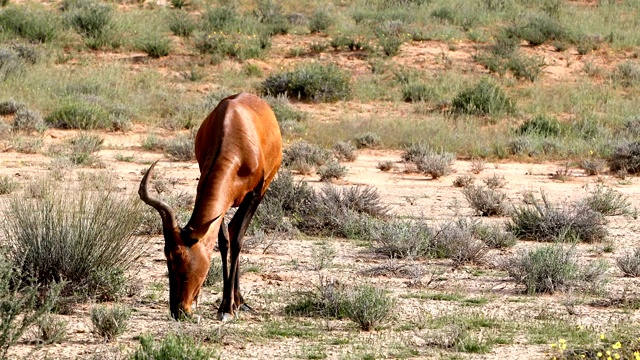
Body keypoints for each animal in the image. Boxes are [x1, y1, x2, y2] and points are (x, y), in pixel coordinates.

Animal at [140, 93, 282, 320]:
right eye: (166, 257)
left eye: (180, 258)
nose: (179, 310)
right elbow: (223, 241)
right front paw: (226, 304)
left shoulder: (254, 194)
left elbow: (237, 237)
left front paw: (226, 309)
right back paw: (237, 300)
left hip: (264, 187)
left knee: (237, 232)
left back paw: (238, 302)